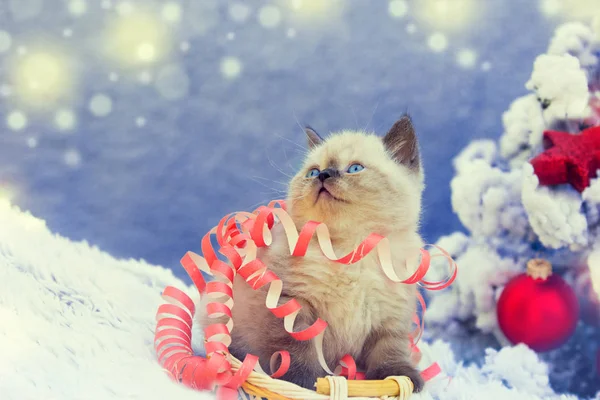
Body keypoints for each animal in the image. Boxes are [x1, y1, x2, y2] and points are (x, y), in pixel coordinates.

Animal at [195, 115, 424, 390]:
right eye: (313, 172)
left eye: (355, 169)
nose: (324, 175)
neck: (350, 252)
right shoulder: (295, 305)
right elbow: (299, 350)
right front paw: (304, 383)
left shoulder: (390, 317)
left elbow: (389, 352)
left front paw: (402, 377)